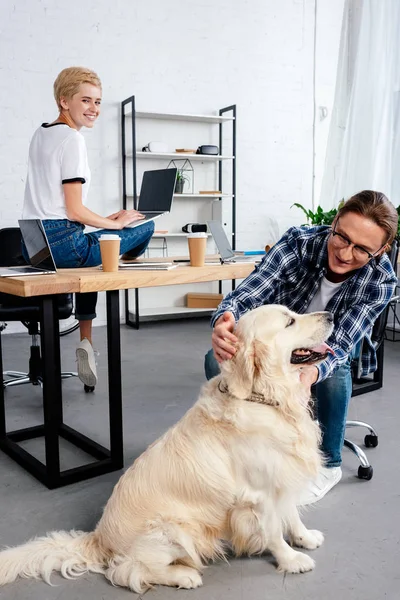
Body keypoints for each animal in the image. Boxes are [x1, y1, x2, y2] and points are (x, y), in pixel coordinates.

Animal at [0, 302, 332, 592]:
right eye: (289, 321)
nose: (330, 315)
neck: (265, 398)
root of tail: (100, 537)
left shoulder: (282, 476)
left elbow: (291, 514)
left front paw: (304, 537)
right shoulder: (258, 495)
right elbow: (274, 531)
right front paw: (292, 559)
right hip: (174, 530)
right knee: (126, 571)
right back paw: (184, 576)